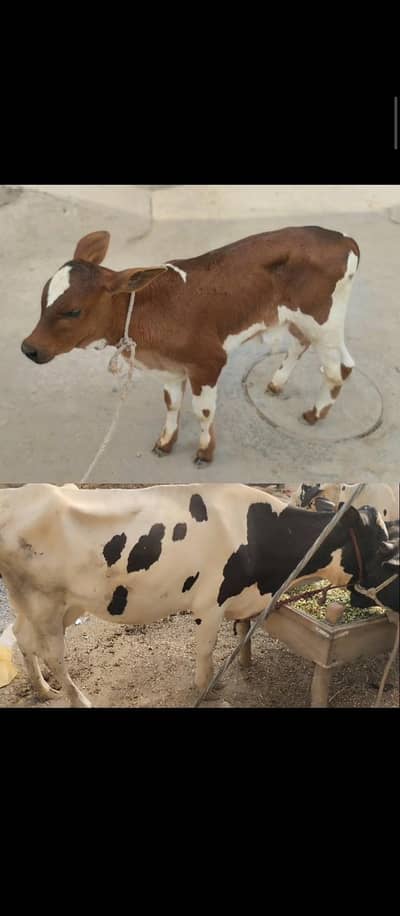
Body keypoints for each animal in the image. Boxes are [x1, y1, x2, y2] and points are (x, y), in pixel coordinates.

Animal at [1, 483, 397, 708]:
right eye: (384, 550)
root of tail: (17, 495)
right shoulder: (210, 602)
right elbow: (207, 650)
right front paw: (208, 690)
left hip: (51, 602)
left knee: (22, 637)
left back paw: (43, 691)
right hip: (46, 602)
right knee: (53, 654)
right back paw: (79, 699)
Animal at [21, 226, 360, 464]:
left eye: (73, 311)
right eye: (43, 298)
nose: (29, 348)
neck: (147, 310)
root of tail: (341, 239)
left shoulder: (208, 362)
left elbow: (203, 411)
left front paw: (205, 452)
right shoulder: (170, 368)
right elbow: (171, 404)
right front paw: (165, 443)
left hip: (324, 321)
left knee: (338, 367)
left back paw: (315, 413)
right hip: (301, 320)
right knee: (304, 345)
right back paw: (277, 383)